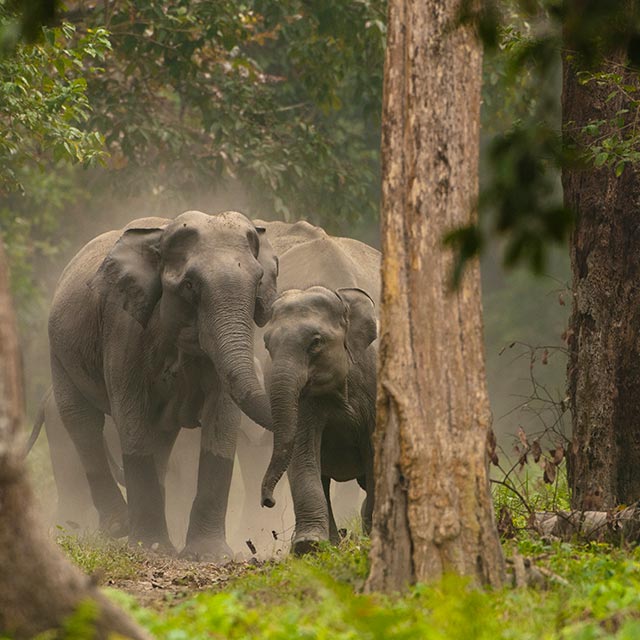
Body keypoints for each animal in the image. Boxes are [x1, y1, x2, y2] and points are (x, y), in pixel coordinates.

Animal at [46, 210, 278, 560]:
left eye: (257, 282)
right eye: (190, 285)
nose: (270, 502)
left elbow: (222, 419)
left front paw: (211, 556)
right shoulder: (124, 329)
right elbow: (132, 418)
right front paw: (150, 549)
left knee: (161, 439)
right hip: (60, 352)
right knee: (82, 421)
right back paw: (119, 527)